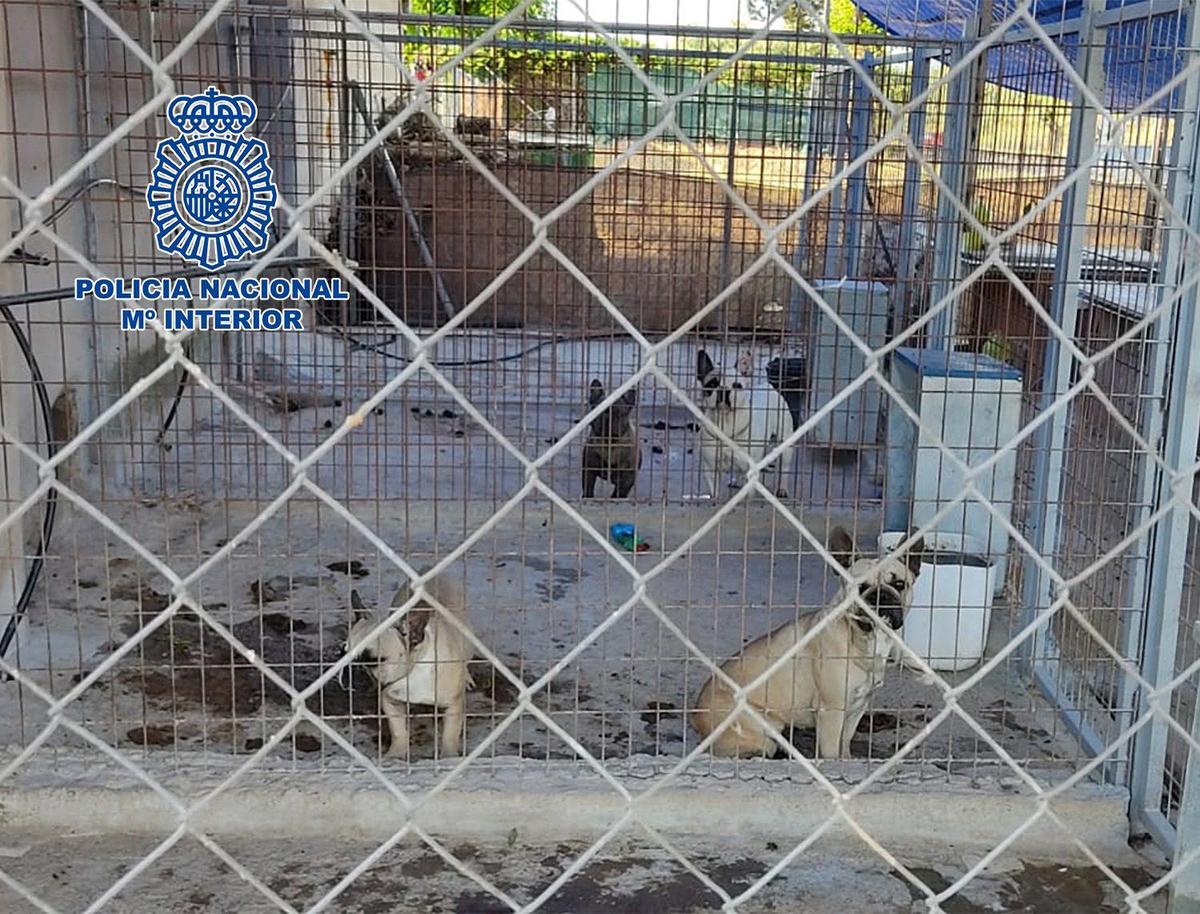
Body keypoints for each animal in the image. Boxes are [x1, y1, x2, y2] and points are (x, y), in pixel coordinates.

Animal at [691, 522, 921, 758]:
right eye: (861, 587)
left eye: (900, 584)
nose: (881, 595)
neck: (862, 637)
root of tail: (696, 719)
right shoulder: (831, 711)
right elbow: (831, 752)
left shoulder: (856, 709)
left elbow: (845, 743)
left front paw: (847, 760)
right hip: (761, 727)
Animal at [700, 347, 792, 498]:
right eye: (712, 384)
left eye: (737, 385)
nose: (723, 389)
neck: (726, 423)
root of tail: (768, 386)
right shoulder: (711, 468)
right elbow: (715, 491)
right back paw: (736, 481)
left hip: (785, 443)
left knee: (784, 468)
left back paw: (782, 489)